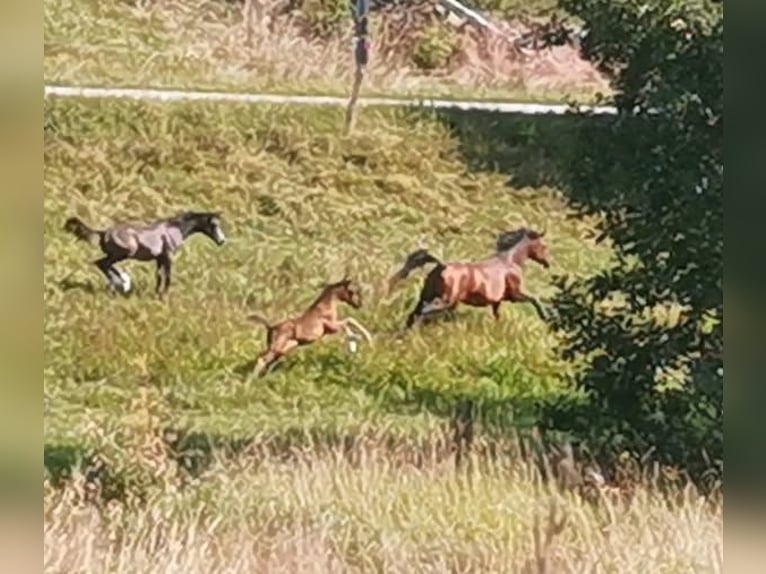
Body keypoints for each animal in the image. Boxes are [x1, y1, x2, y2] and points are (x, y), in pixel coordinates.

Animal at [390, 228, 552, 330]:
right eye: (543, 246)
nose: (547, 263)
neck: (509, 261)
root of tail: (441, 265)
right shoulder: (515, 295)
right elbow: (535, 299)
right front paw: (545, 317)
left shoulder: (497, 301)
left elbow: (497, 315)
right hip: (444, 301)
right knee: (423, 312)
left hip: (428, 297)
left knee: (414, 314)